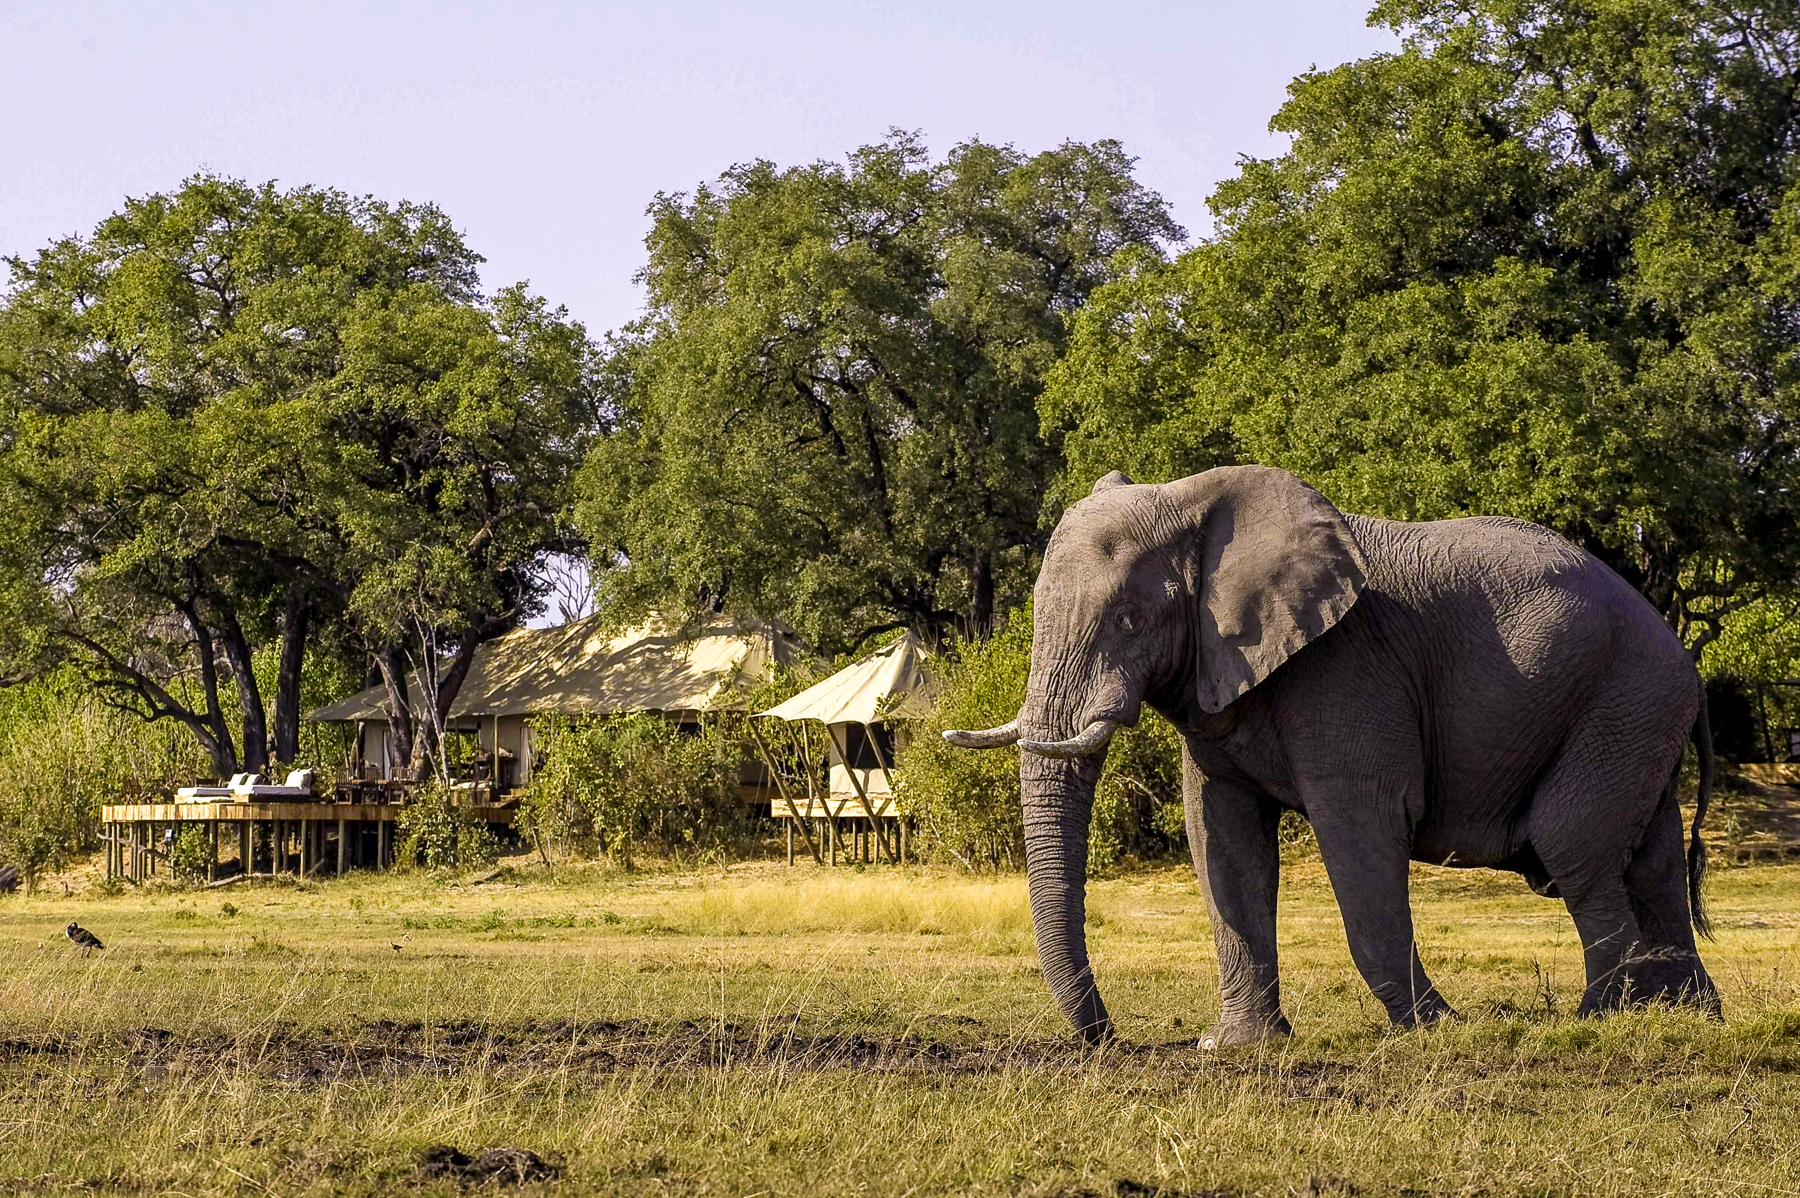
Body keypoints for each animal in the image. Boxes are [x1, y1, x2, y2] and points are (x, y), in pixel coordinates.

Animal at [946, 465, 1717, 1047]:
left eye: (1130, 620)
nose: (1110, 1039)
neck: (1196, 502)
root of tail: (1680, 651)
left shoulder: (1347, 670)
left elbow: (1359, 831)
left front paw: (1436, 1030)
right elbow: (1222, 839)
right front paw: (1239, 1047)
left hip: (1623, 699)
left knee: (1573, 848)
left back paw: (1601, 1020)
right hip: (1637, 713)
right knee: (1650, 862)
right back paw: (1690, 1015)